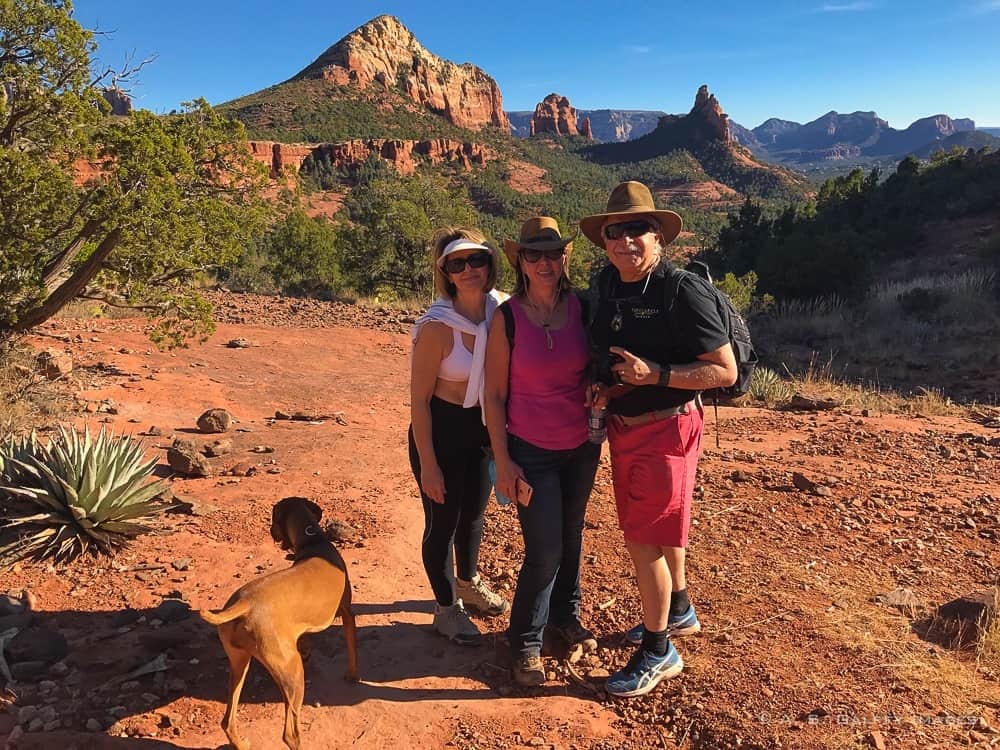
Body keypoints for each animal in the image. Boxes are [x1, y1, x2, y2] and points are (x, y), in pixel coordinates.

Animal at [200, 500, 360, 750]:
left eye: (274, 517)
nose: (270, 531)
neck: (313, 540)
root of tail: (244, 604)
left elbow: (306, 638)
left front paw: (308, 650)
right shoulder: (347, 613)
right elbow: (352, 648)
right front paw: (353, 676)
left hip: (239, 663)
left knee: (227, 720)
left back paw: (240, 743)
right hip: (293, 674)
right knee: (290, 734)